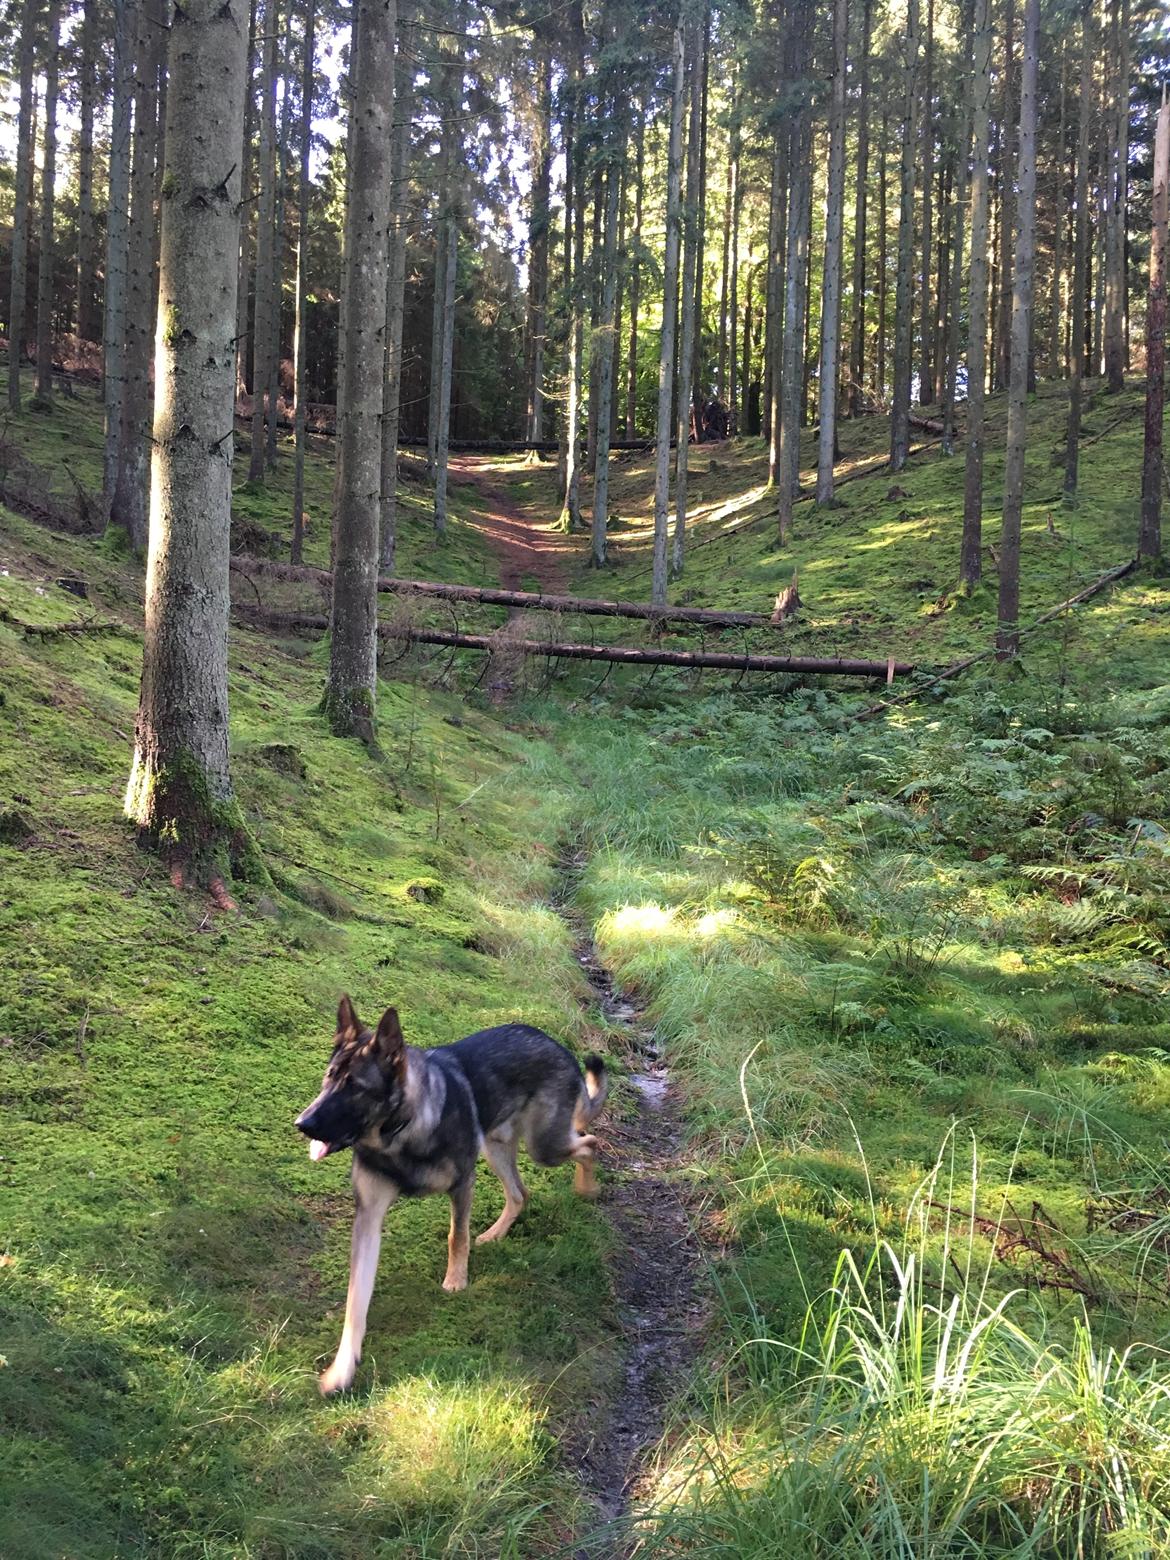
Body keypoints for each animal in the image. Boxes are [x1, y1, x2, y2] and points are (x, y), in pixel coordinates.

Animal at [293, 992, 608, 1397]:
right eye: (329, 1078)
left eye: (355, 1088)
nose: (302, 1124)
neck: (399, 1133)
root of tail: (557, 1044)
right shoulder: (369, 1218)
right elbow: (355, 1302)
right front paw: (342, 1367)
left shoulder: (462, 1185)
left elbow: (456, 1236)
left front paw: (456, 1279)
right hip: (495, 1147)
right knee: (521, 1193)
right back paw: (495, 1233)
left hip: (544, 1147)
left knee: (589, 1143)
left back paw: (587, 1188)